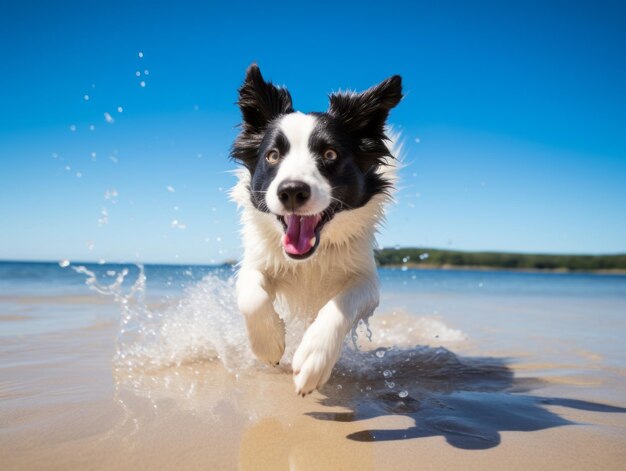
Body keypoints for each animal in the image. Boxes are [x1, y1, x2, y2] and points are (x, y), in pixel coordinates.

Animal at [229, 64, 400, 396]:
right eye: (272, 155)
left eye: (330, 154)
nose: (292, 191)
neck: (310, 259)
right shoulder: (259, 260)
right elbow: (251, 295)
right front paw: (270, 344)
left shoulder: (367, 281)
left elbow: (341, 304)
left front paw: (313, 357)